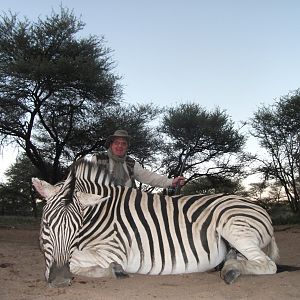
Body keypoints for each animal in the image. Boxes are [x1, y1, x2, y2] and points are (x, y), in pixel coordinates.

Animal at [32, 156, 282, 288]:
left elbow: (75, 260)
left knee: (268, 264)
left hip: (233, 227)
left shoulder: (113, 250)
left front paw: (114, 270)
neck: (98, 214)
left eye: (77, 229)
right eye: (47, 226)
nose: (60, 280)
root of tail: (259, 207)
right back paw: (228, 263)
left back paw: (230, 270)